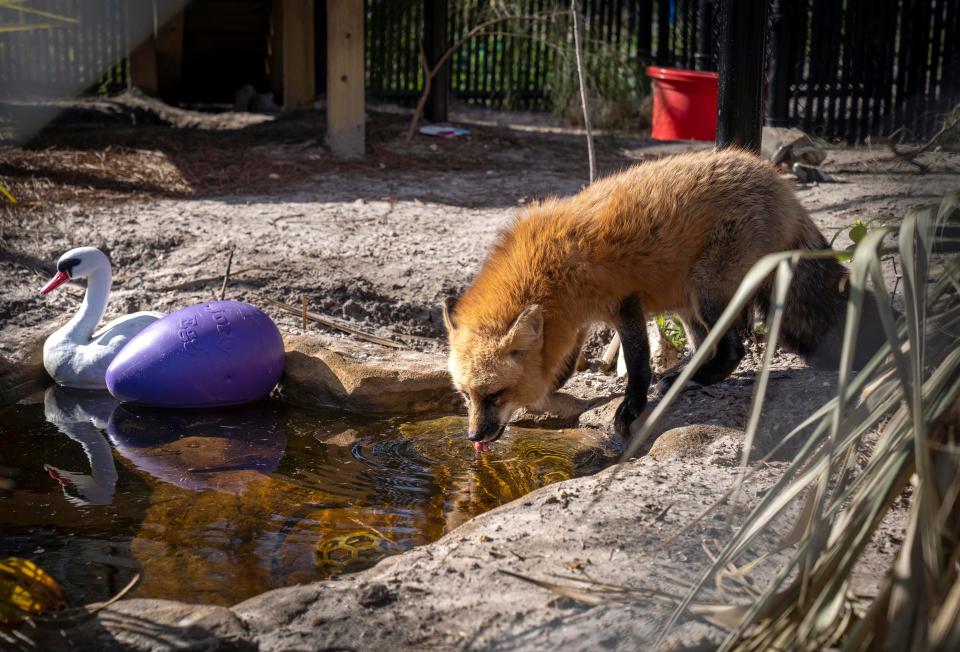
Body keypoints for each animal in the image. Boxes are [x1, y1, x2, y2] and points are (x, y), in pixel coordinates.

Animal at [446, 149, 880, 448]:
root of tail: (779, 182)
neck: (550, 267)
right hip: (689, 303)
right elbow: (564, 366)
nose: (473, 438)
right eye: (466, 396)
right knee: (709, 346)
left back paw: (688, 379)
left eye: (496, 394)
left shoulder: (624, 302)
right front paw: (551, 394)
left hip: (707, 291)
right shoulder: (575, 319)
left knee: (734, 349)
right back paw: (686, 377)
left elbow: (638, 364)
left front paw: (630, 410)